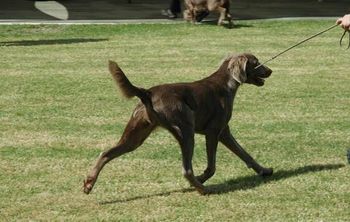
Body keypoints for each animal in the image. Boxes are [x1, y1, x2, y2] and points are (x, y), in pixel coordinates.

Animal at [84, 53, 274, 194]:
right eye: (256, 63)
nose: (271, 70)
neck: (225, 83)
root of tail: (148, 93)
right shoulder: (213, 131)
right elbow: (212, 166)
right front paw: (202, 177)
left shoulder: (224, 132)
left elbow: (245, 154)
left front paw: (264, 170)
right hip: (186, 130)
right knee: (186, 170)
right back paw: (203, 188)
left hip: (135, 136)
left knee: (106, 153)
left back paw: (88, 183)